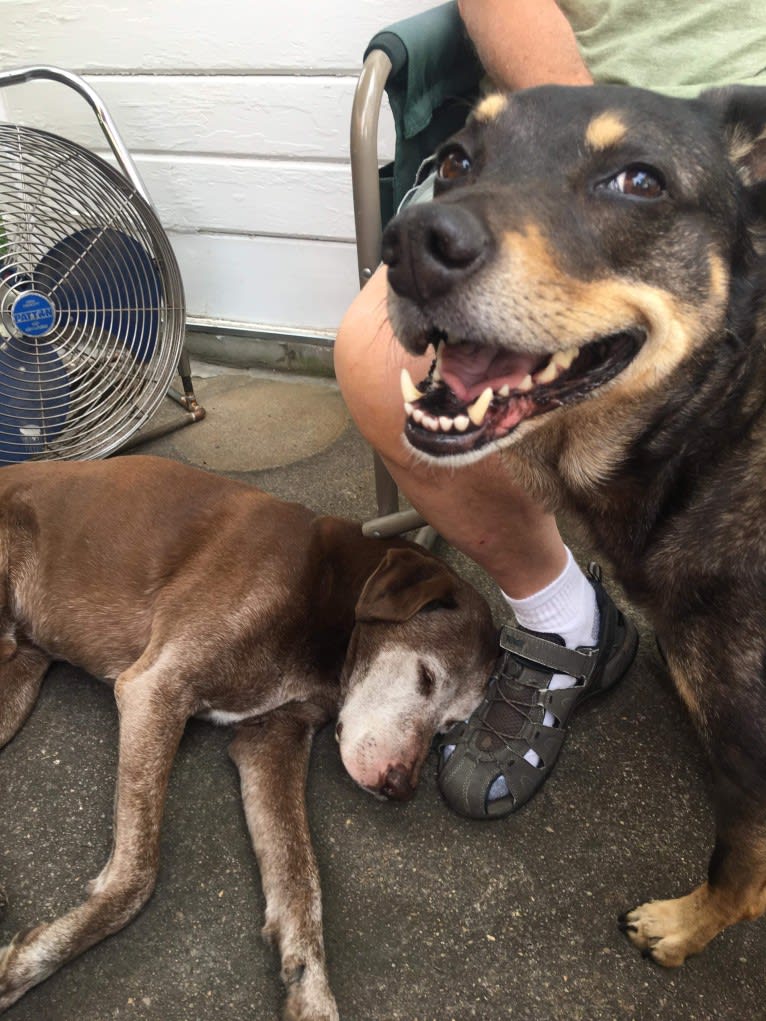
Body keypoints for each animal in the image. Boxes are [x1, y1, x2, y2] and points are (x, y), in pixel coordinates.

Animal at [0, 457, 494, 1021]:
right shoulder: (155, 690)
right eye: (426, 678)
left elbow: (300, 877)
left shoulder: (271, 740)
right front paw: (27, 963)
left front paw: (311, 990)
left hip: (17, 683)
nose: (401, 788)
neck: (329, 597)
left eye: (449, 728)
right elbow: (137, 873)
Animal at [386, 85, 766, 963]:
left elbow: (736, 872)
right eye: (456, 159)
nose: (411, 244)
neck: (721, 420)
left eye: (640, 181)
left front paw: (682, 928)